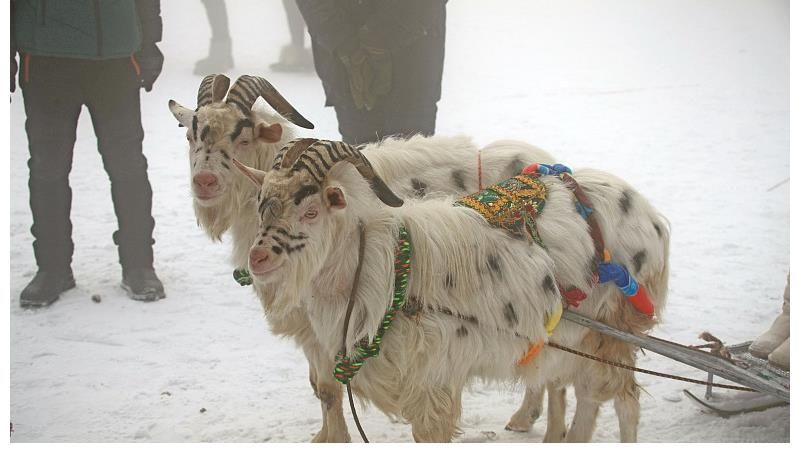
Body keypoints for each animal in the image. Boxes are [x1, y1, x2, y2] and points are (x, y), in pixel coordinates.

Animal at [236, 140, 668, 444]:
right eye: (261, 204)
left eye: (311, 211)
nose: (258, 258)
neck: (386, 272)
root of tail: (650, 214)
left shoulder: (433, 383)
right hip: (579, 340)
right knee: (590, 398)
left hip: (613, 333)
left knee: (624, 401)